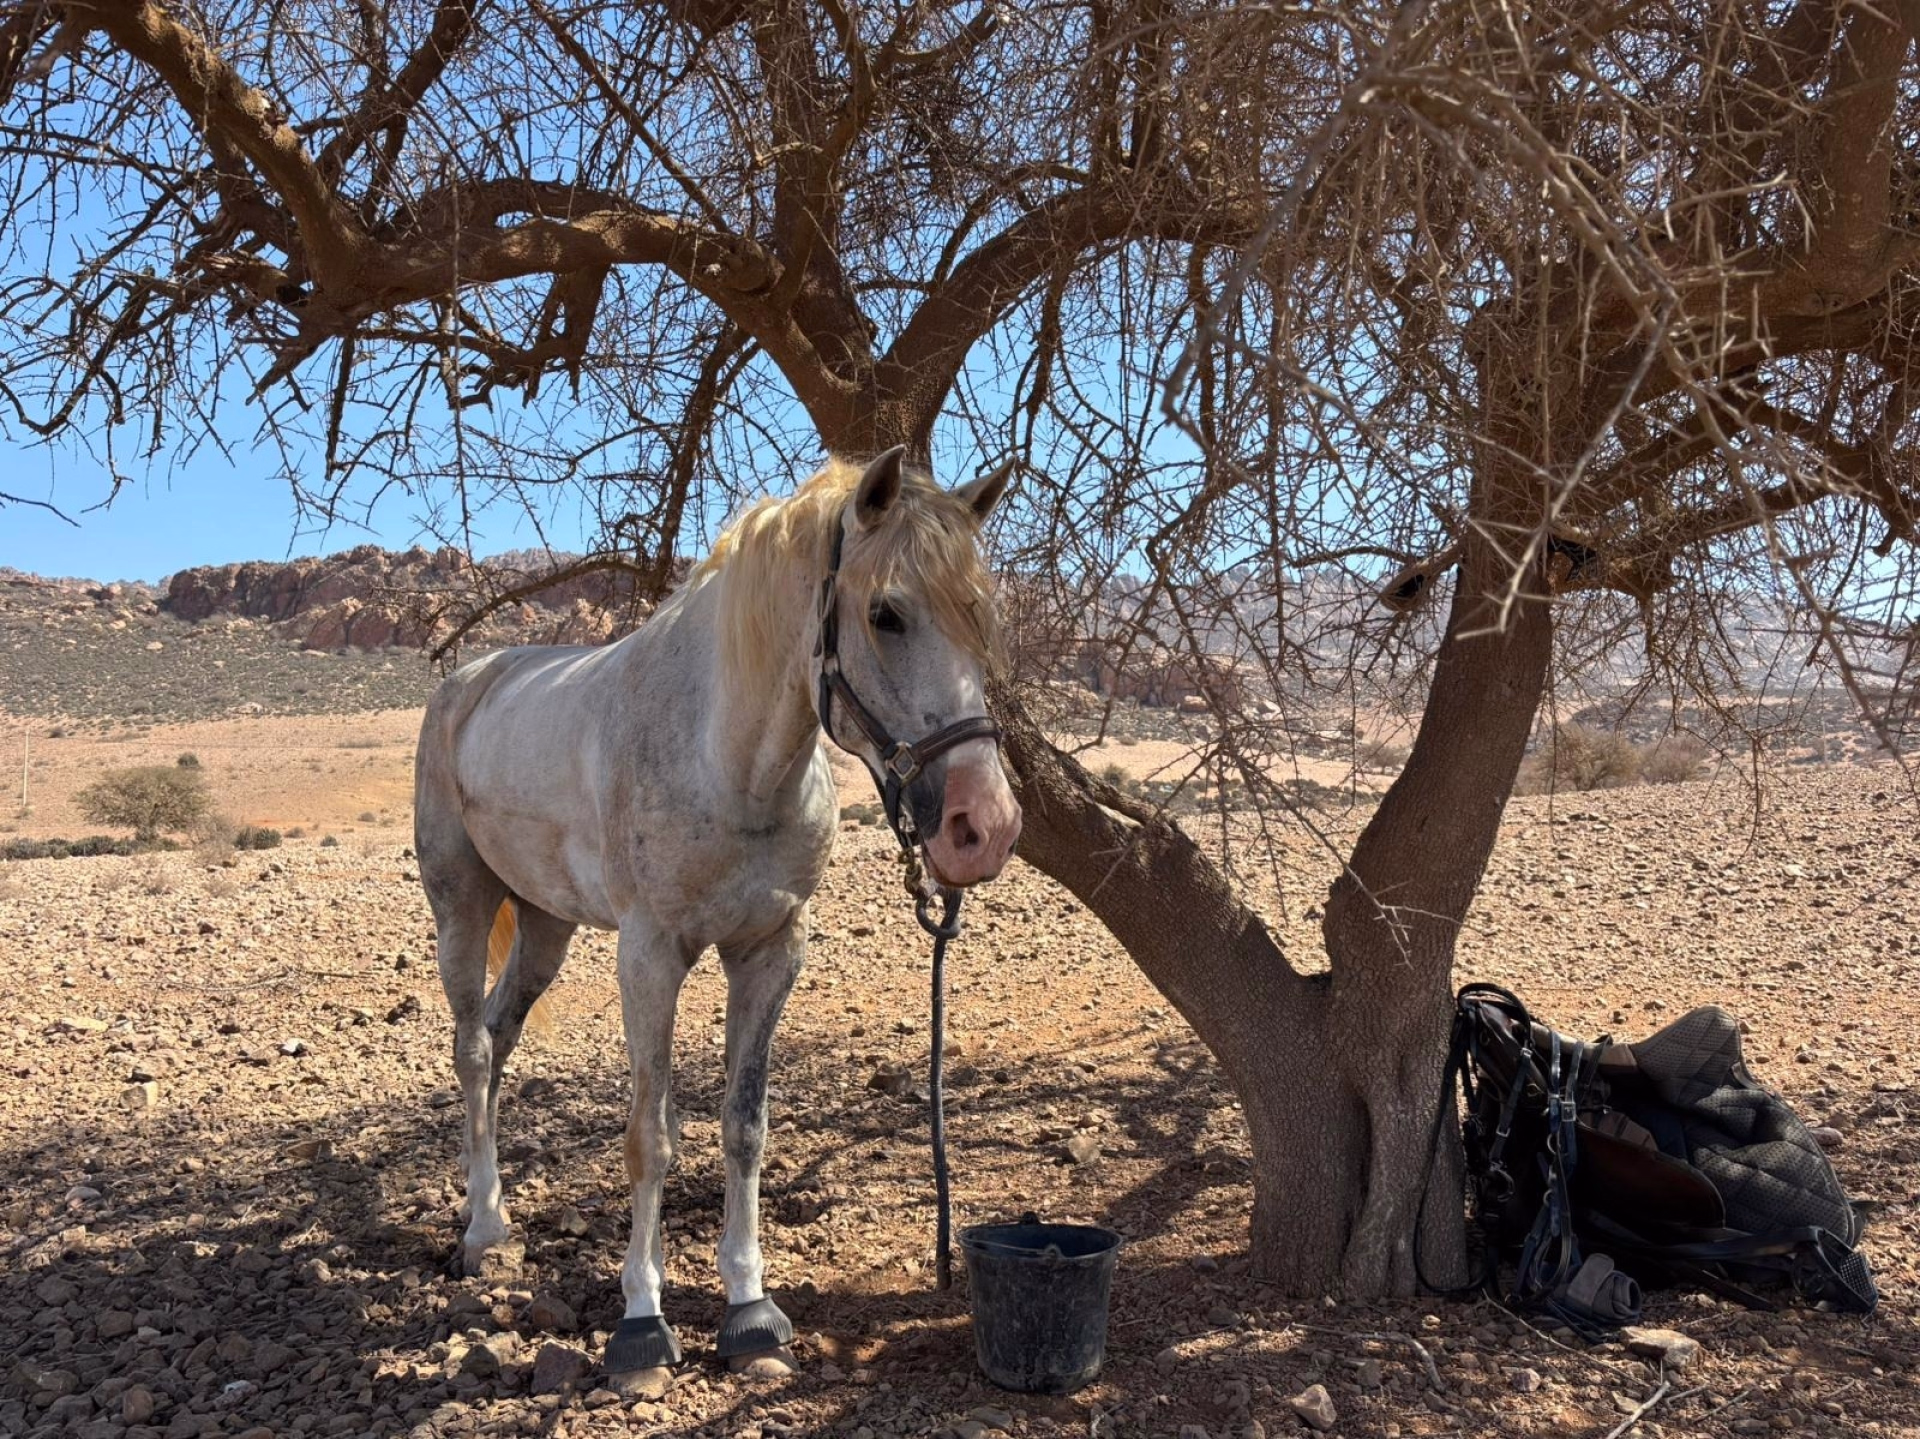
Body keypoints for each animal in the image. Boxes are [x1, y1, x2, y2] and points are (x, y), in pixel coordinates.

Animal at [413, 447, 1022, 1389]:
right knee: (473, 1049)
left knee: (501, 1034)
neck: (727, 760)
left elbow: (743, 1126)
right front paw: (641, 1319)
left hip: (546, 927)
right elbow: (648, 1139)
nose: (982, 826)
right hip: (462, 908)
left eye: (979, 614)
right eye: (886, 612)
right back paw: (483, 1227)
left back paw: (499, 1209)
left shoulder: (769, 952)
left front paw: (748, 1307)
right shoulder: (649, 956)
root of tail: (469, 682)